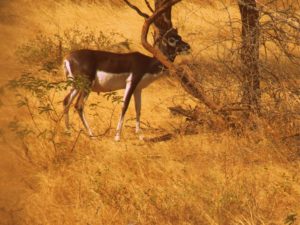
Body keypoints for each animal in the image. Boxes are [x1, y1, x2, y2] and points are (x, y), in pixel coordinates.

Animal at [62, 28, 190, 141]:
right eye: (172, 39)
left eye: (180, 37)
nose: (187, 47)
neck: (147, 63)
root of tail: (68, 58)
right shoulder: (131, 82)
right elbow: (125, 106)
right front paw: (117, 137)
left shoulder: (138, 89)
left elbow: (138, 108)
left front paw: (140, 136)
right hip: (86, 86)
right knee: (79, 105)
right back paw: (92, 135)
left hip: (75, 86)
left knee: (66, 101)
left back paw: (69, 133)